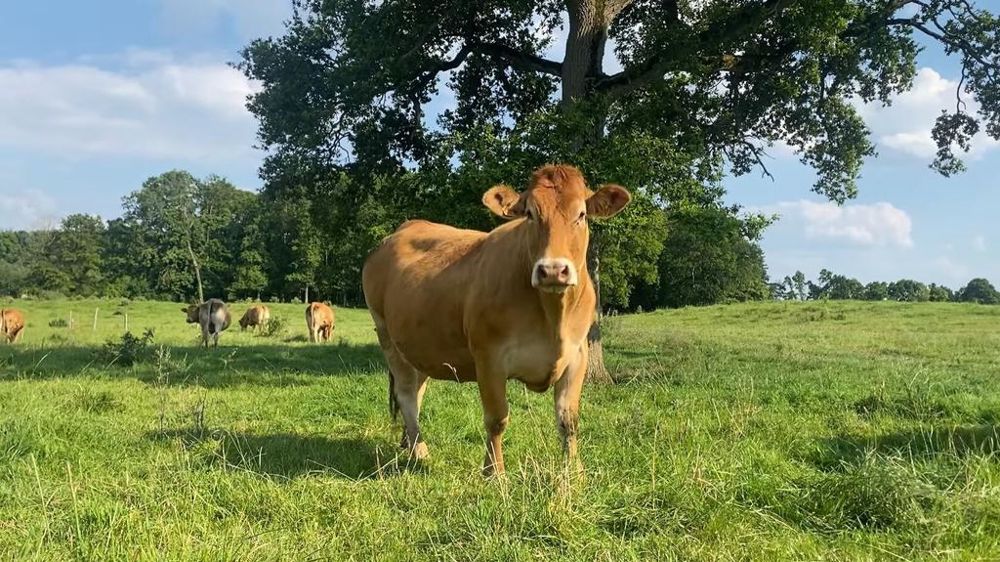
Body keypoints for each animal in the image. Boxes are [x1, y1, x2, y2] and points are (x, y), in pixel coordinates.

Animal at [362, 164, 630, 476]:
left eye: (582, 215)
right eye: (530, 214)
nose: (553, 270)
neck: (553, 317)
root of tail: (402, 229)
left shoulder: (577, 355)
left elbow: (569, 421)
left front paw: (574, 472)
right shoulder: (488, 357)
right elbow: (497, 418)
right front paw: (494, 472)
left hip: (419, 346)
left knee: (416, 393)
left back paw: (410, 443)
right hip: (386, 335)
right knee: (405, 394)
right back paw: (419, 451)